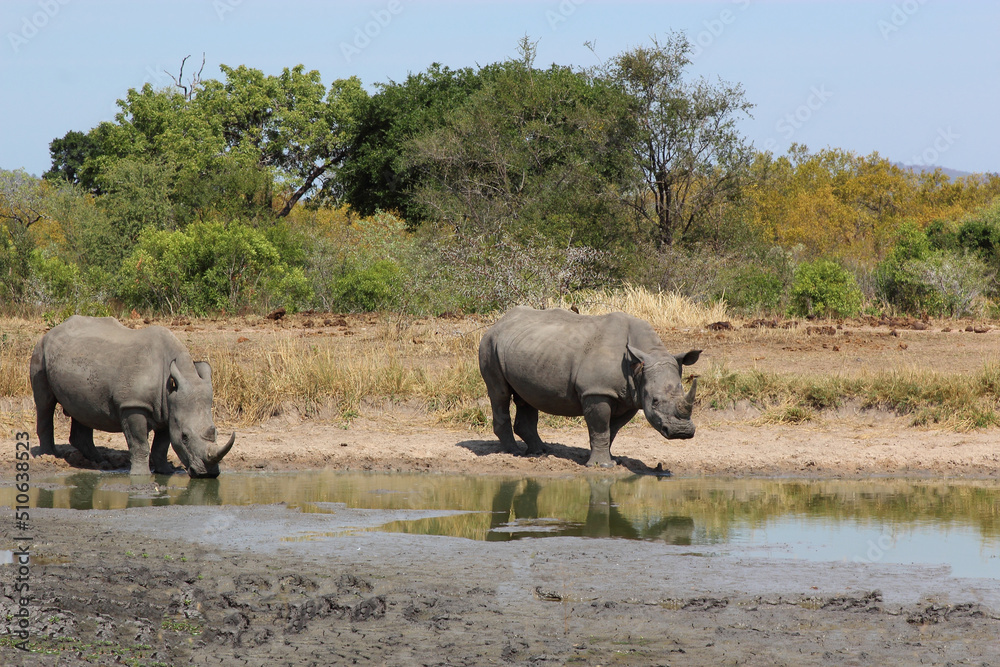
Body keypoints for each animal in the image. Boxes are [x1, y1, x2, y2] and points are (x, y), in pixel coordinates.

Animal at [30, 316, 235, 477]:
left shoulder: (168, 409)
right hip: (40, 351)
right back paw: (48, 456)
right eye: (185, 437)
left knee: (82, 408)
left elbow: (162, 445)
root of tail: (52, 331)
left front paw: (165, 471)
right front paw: (141, 475)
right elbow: (139, 442)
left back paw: (99, 462)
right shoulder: (133, 405)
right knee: (45, 403)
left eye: (216, 432)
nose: (208, 474)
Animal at [478, 306, 700, 467]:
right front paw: (602, 466)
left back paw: (541, 452)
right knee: (499, 394)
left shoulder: (630, 397)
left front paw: (612, 460)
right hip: (490, 343)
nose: (681, 432)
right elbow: (600, 427)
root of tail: (499, 322)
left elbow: (612, 430)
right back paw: (514, 452)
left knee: (526, 396)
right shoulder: (597, 391)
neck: (640, 363)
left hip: (525, 347)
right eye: (654, 401)